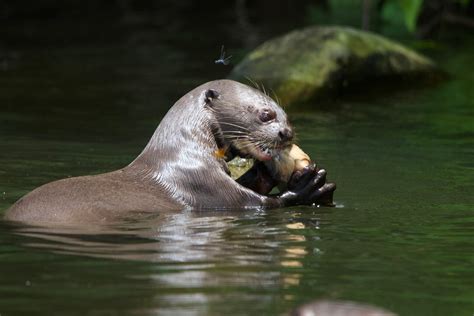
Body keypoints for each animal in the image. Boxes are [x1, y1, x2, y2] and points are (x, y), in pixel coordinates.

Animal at [5, 80, 336, 226]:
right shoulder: (202, 182)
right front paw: (309, 187)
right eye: (266, 115)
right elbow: (258, 203)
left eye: (287, 116)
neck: (184, 152)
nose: (287, 133)